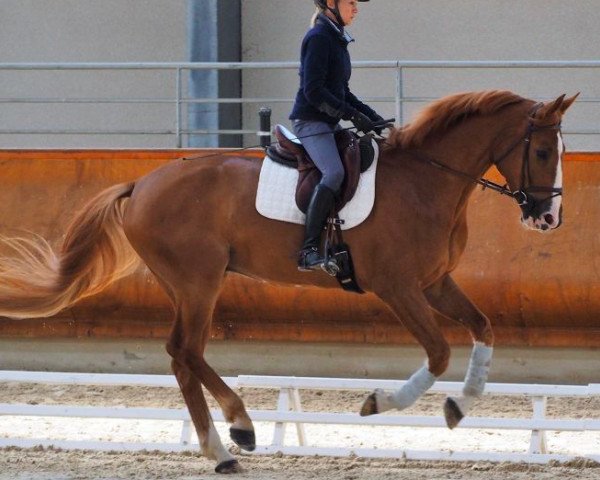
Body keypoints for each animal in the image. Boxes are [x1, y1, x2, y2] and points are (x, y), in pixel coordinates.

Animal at [0, 90, 576, 472]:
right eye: (542, 152)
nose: (549, 220)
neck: (427, 181)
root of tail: (142, 183)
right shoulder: (399, 288)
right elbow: (436, 353)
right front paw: (380, 403)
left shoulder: (435, 283)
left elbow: (484, 330)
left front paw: (461, 404)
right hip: (197, 282)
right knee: (183, 350)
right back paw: (234, 434)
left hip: (192, 284)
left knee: (184, 355)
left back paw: (227, 442)